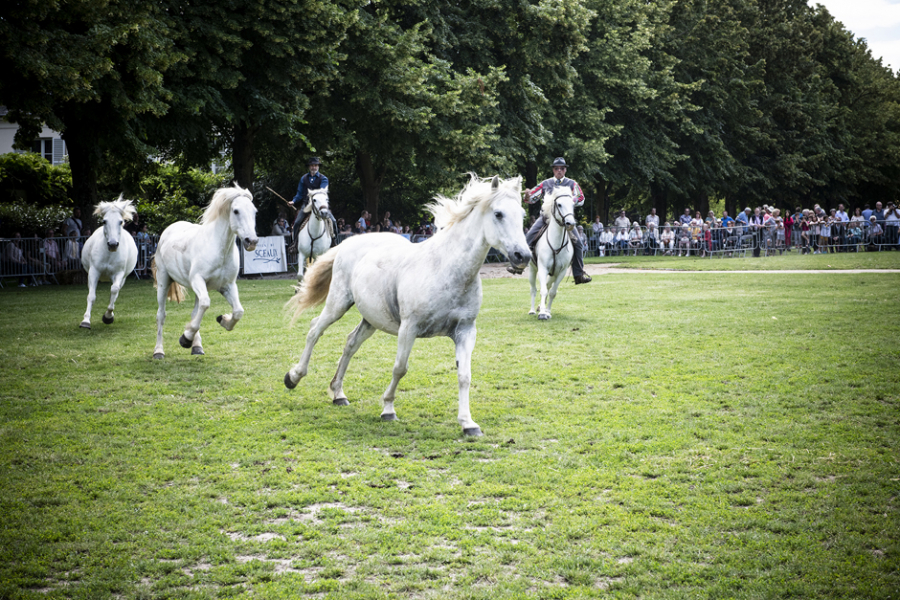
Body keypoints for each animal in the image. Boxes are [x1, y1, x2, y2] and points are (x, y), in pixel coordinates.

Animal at [79, 197, 139, 328]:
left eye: (121, 222)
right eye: (104, 221)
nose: (112, 244)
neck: (109, 255)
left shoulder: (119, 274)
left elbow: (114, 291)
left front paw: (108, 317)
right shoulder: (94, 272)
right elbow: (91, 296)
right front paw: (85, 321)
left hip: (123, 278)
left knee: (115, 292)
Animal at [152, 183, 260, 358]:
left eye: (254, 211)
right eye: (236, 211)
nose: (252, 241)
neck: (218, 249)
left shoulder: (227, 285)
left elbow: (238, 311)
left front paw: (223, 320)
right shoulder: (198, 280)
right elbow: (206, 304)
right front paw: (185, 338)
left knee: (195, 311)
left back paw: (197, 347)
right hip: (163, 280)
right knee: (161, 315)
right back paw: (159, 351)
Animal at [284, 173, 532, 436]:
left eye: (521, 214)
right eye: (498, 214)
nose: (523, 256)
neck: (446, 269)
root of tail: (349, 243)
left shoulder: (465, 331)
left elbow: (464, 375)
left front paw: (468, 423)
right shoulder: (409, 328)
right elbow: (400, 368)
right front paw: (388, 409)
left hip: (371, 319)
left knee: (350, 343)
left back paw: (338, 393)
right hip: (337, 304)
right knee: (314, 330)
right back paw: (293, 377)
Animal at [528, 188, 576, 322]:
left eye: (573, 205)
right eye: (559, 204)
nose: (570, 223)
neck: (556, 244)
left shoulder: (561, 272)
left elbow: (553, 292)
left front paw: (547, 311)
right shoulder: (543, 269)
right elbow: (543, 290)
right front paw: (542, 314)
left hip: (553, 274)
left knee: (549, 286)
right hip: (532, 269)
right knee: (533, 289)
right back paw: (533, 310)